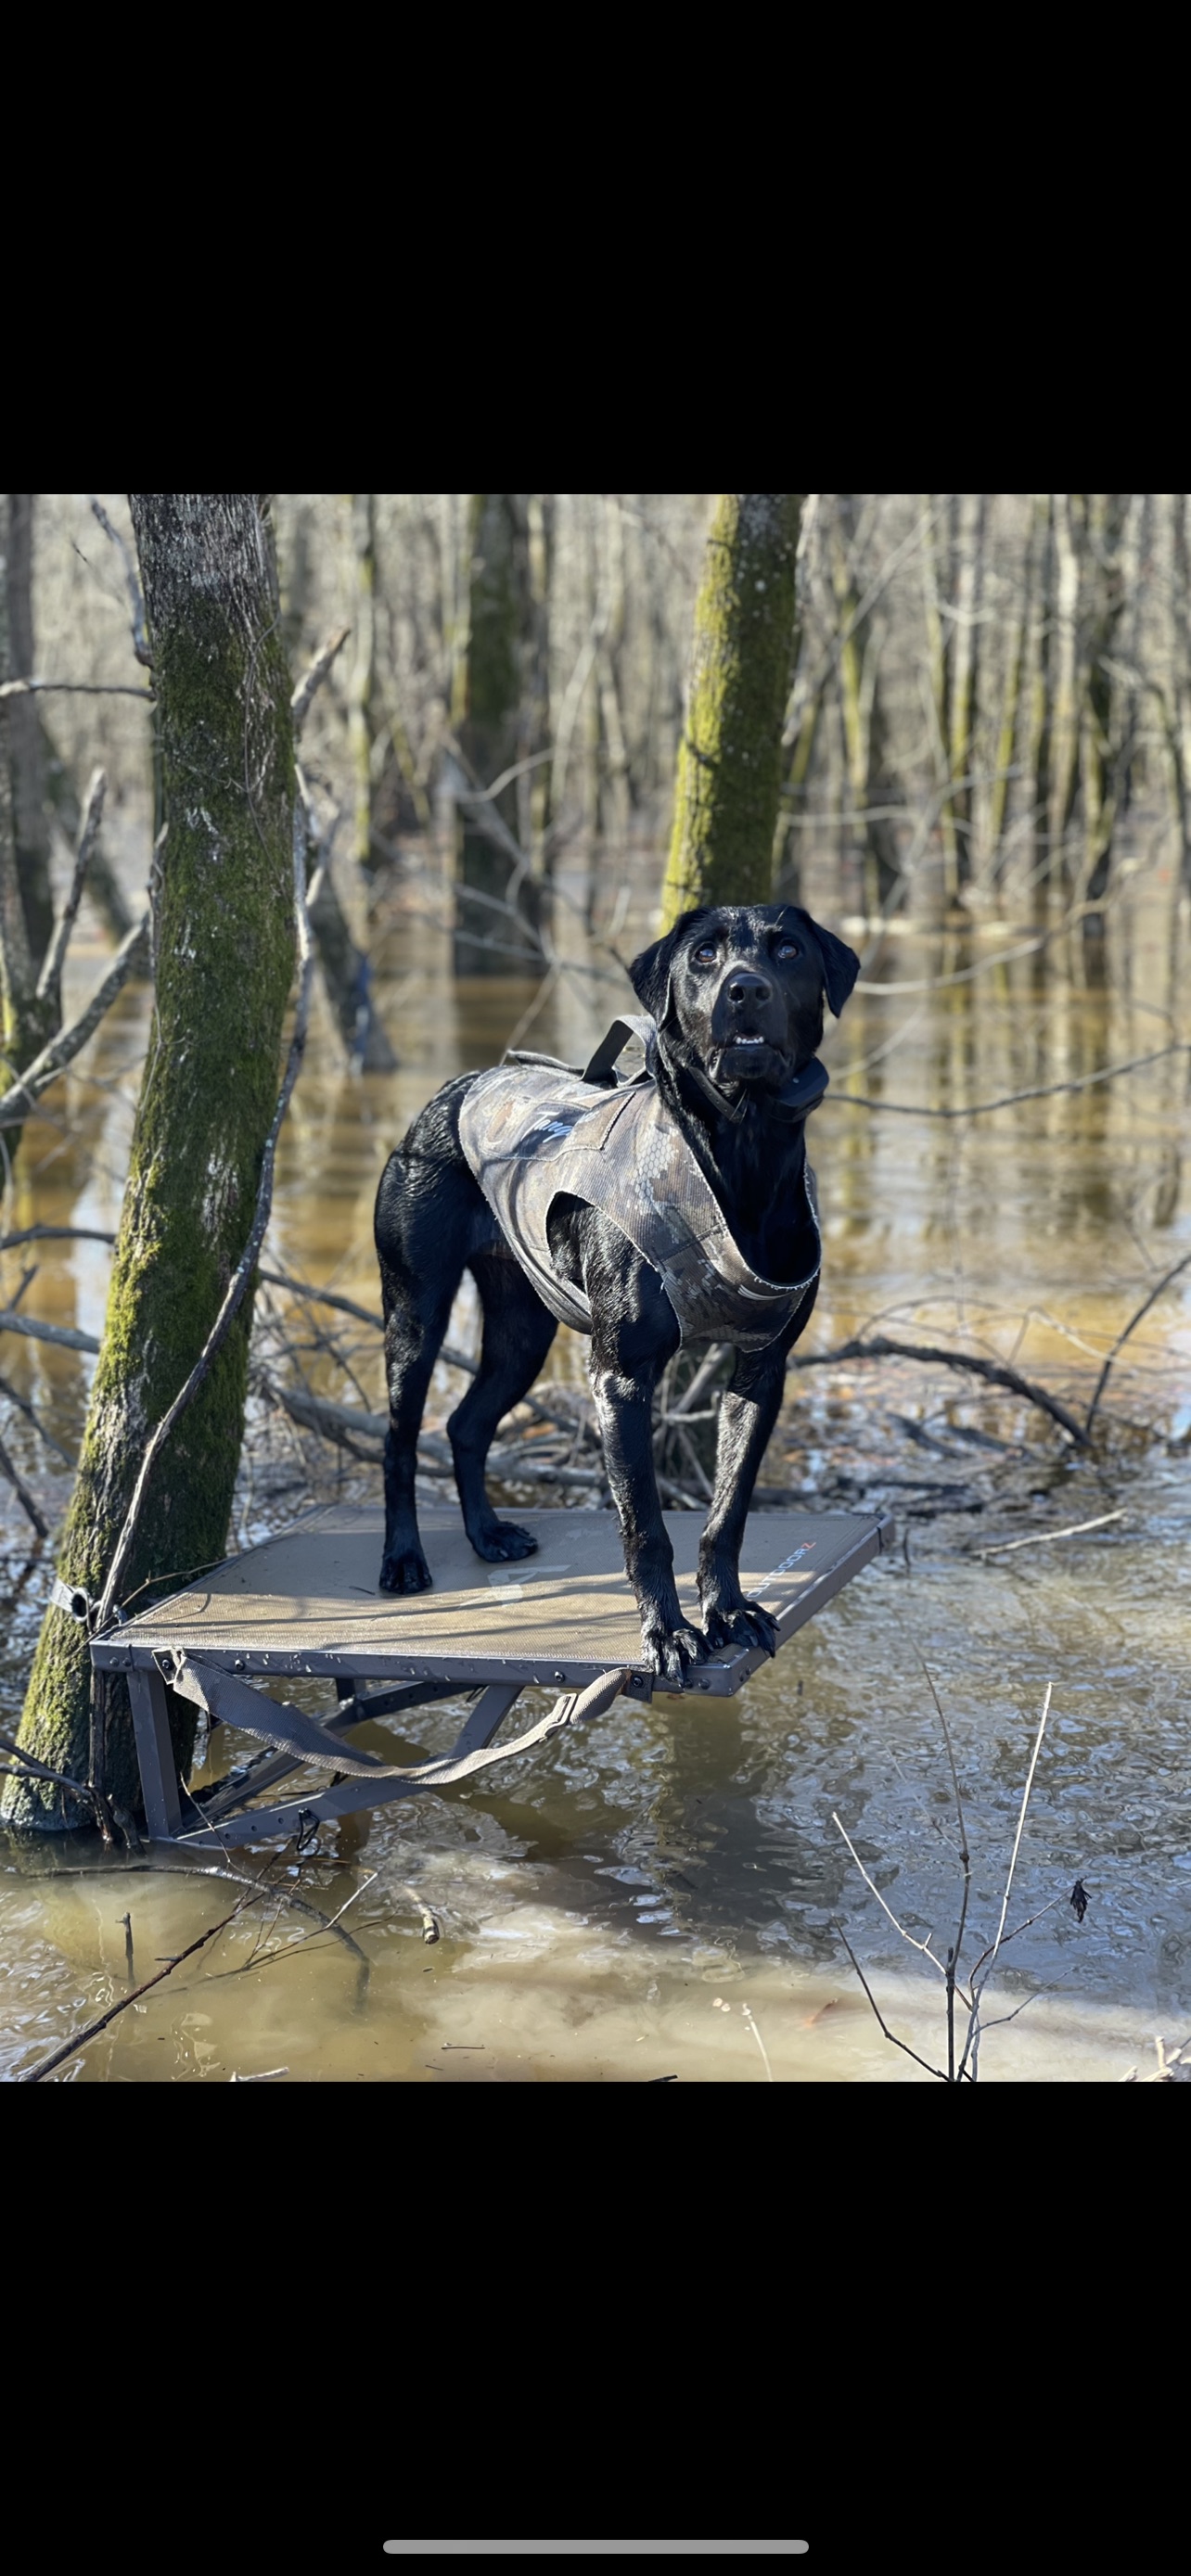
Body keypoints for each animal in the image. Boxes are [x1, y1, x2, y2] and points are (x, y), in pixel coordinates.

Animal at [371, 906, 855, 1690]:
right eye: (703, 955)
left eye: (787, 950)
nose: (745, 990)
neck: (740, 1148)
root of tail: (458, 1086)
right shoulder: (621, 1378)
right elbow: (645, 1526)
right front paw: (667, 1634)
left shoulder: (761, 1372)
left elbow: (727, 1514)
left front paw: (728, 1612)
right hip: (415, 1312)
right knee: (399, 1442)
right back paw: (404, 1559)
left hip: (522, 1331)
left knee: (467, 1426)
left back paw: (487, 1534)